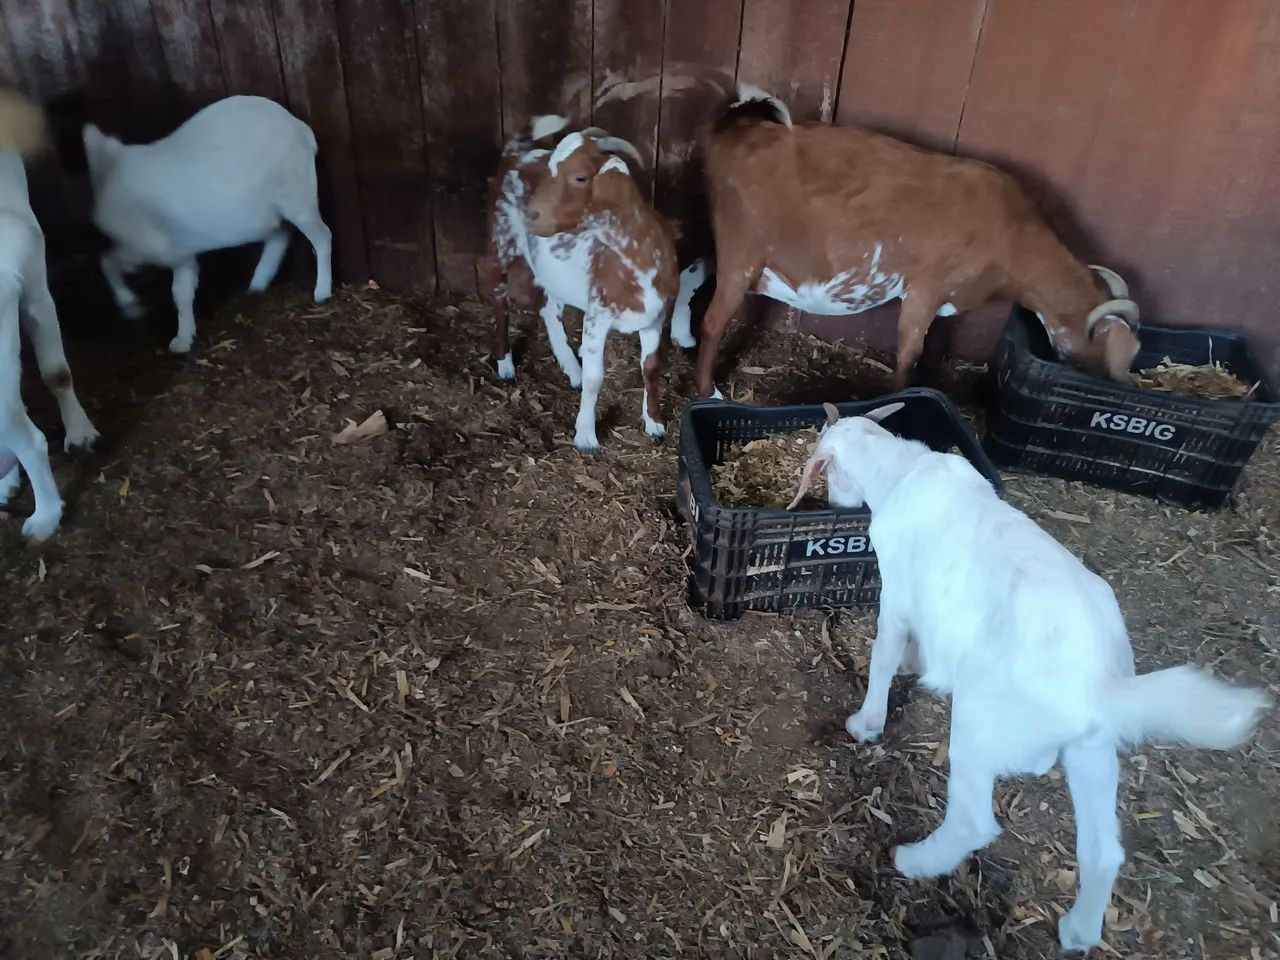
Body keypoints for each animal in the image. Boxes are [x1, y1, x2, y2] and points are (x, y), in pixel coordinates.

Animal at [84, 95, 332, 354]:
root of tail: (302, 130)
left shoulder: (144, 247)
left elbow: (107, 261)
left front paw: (131, 307)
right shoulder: (181, 253)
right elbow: (180, 292)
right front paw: (182, 341)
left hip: (298, 198)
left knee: (322, 235)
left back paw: (321, 292)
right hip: (270, 212)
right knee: (280, 236)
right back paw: (255, 287)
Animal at [483, 118, 680, 450]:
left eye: (579, 177)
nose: (531, 215)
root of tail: (515, 154)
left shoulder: (656, 316)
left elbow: (651, 368)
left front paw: (654, 422)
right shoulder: (597, 315)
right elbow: (595, 377)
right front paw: (586, 435)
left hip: (551, 271)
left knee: (548, 309)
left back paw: (570, 367)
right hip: (500, 241)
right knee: (499, 302)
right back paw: (506, 364)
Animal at [689, 84, 1141, 398]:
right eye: (1117, 351)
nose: (1119, 385)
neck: (1012, 234)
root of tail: (741, 127)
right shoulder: (925, 287)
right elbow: (909, 351)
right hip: (741, 253)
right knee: (713, 322)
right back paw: (707, 390)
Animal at [789, 402, 1271, 953]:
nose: (830, 500)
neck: (903, 469)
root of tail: (1098, 690)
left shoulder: (898, 595)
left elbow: (884, 653)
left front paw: (867, 721)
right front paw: (917, 663)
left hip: (979, 730)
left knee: (974, 821)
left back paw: (915, 860)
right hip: (1093, 753)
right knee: (1103, 851)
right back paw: (1079, 932)